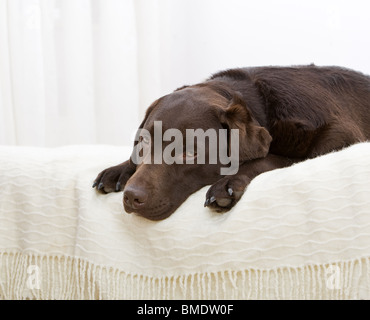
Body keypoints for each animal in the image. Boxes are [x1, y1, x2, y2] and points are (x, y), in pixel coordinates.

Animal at [92, 65, 370, 220]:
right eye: (143, 142)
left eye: (189, 153)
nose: (131, 197)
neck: (261, 104)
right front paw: (119, 169)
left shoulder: (340, 137)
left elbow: (275, 157)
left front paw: (227, 184)